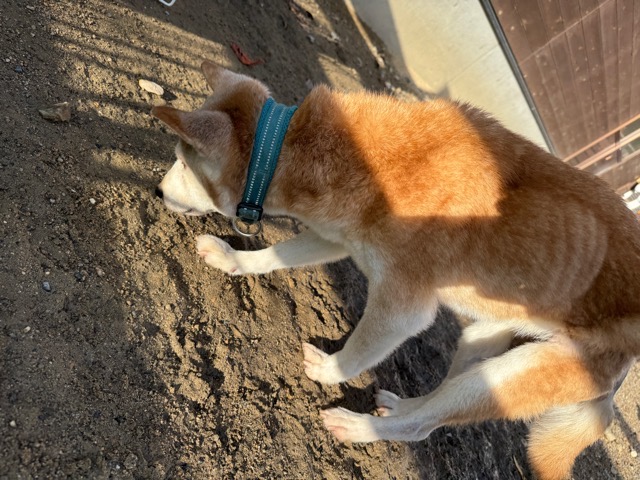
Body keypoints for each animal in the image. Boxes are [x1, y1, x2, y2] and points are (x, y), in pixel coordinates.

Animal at [152, 61, 639, 480]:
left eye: (182, 161)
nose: (156, 191)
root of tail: (627, 364)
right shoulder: (338, 237)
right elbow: (274, 254)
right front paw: (233, 258)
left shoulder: (401, 307)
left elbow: (356, 353)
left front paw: (328, 370)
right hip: (483, 339)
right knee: (437, 399)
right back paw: (401, 405)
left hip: (519, 373)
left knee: (423, 427)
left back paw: (360, 427)